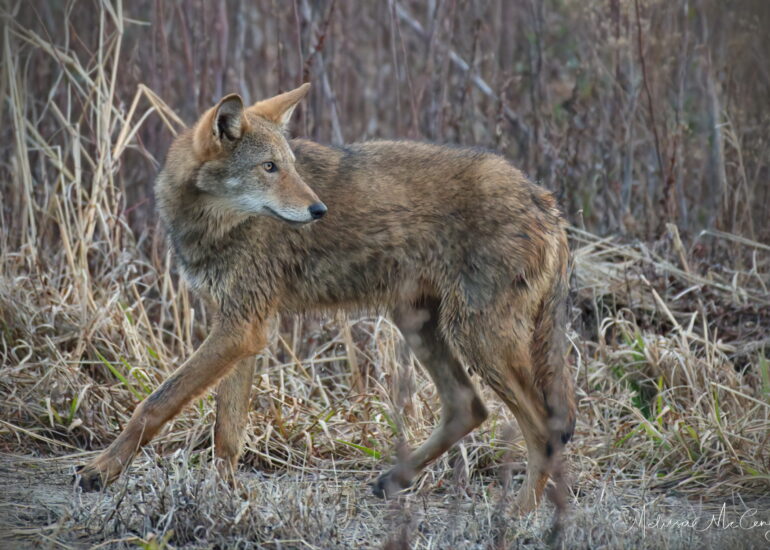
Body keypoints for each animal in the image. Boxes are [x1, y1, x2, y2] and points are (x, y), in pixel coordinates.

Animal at [77, 83, 576, 514]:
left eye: (291, 165)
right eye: (270, 167)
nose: (319, 210)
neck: (214, 225)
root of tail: (547, 200)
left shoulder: (241, 329)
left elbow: (155, 404)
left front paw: (100, 470)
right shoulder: (243, 330)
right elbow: (227, 433)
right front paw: (225, 499)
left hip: (477, 339)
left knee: (544, 430)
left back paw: (517, 514)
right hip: (419, 324)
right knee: (468, 407)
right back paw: (396, 479)